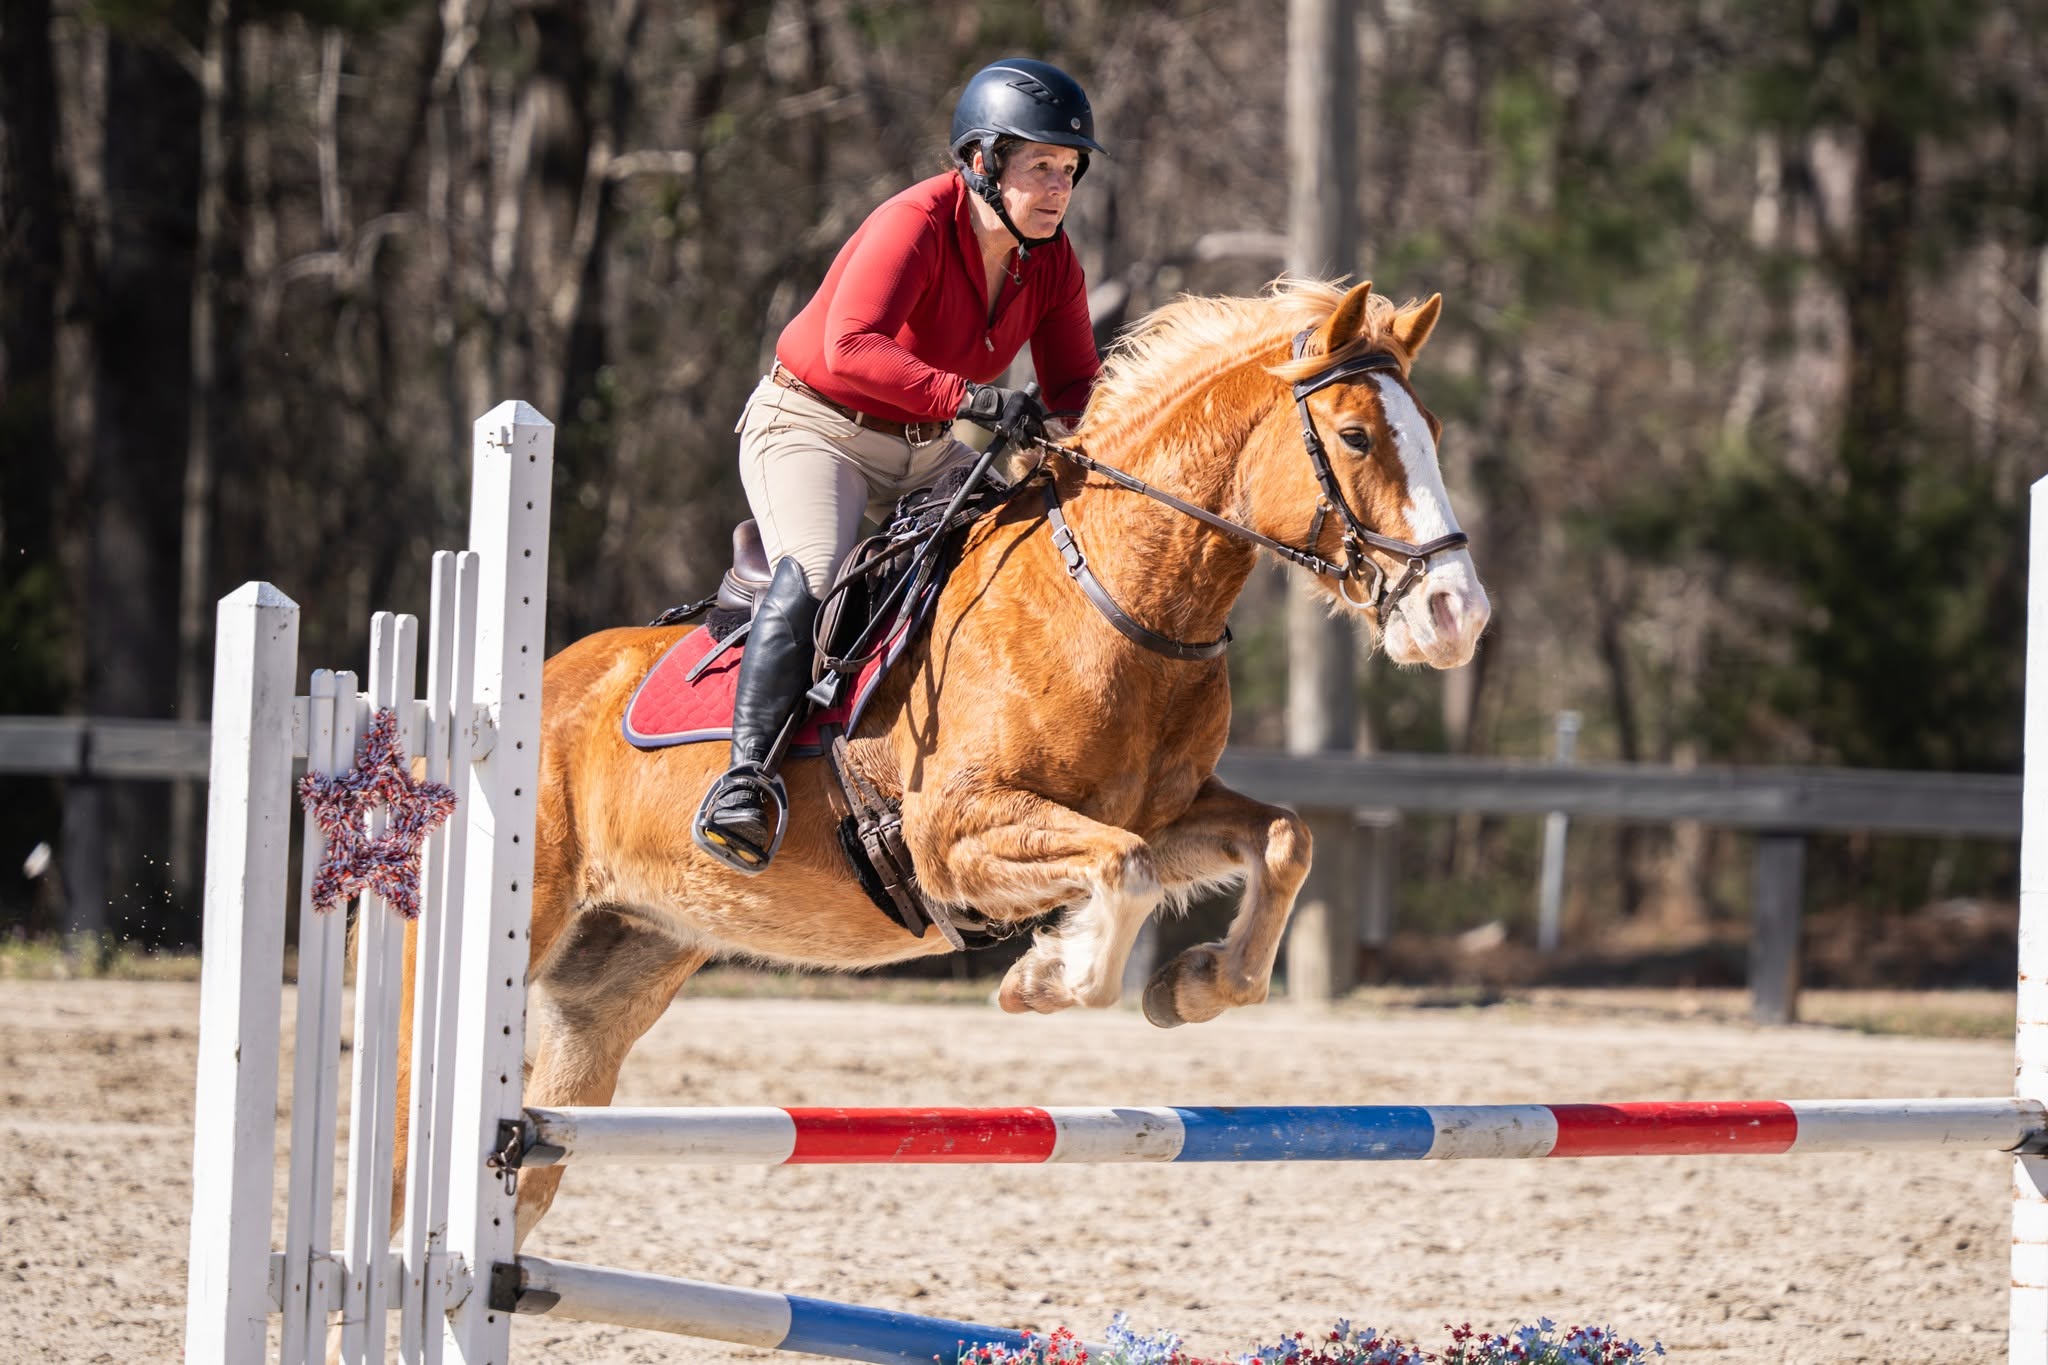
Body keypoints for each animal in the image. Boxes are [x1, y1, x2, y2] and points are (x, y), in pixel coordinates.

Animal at [392, 277, 1491, 1246]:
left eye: (1433, 431)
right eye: (1355, 436)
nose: (1456, 617)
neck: (1113, 595)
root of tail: (531, 689)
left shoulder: (1165, 811)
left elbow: (1280, 840)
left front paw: (1192, 987)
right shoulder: (951, 832)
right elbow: (1124, 870)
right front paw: (1045, 978)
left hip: (616, 972)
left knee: (538, 1159)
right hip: (520, 928)